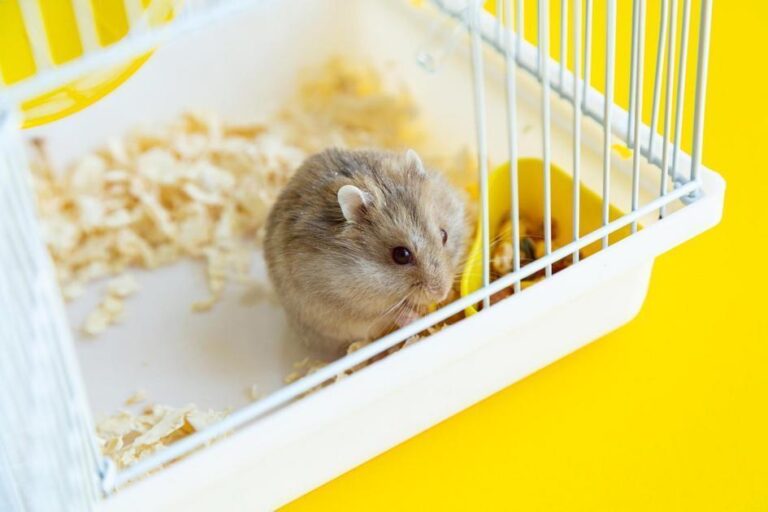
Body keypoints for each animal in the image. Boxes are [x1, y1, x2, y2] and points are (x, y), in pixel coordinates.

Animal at [264, 148, 468, 355]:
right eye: (401, 255)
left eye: (444, 235)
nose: (441, 294)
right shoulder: (348, 306)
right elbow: (390, 314)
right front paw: (416, 317)